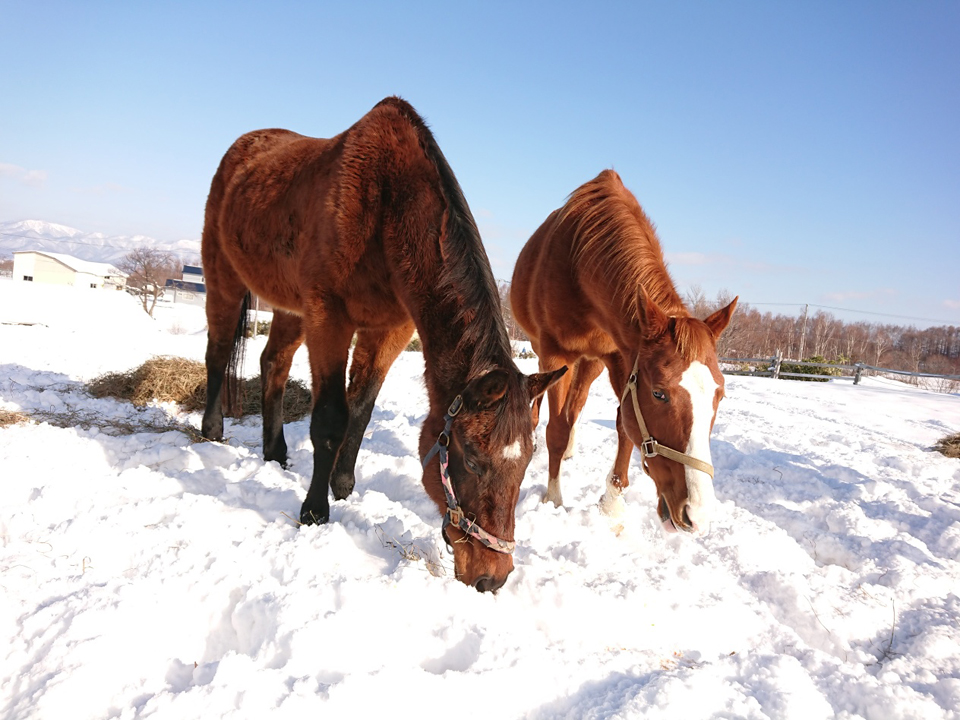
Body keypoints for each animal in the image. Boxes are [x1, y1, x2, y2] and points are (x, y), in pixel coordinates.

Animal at [202, 97, 564, 592]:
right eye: (472, 461)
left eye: (527, 463)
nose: (492, 577)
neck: (387, 206)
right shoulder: (328, 316)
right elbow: (331, 418)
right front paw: (314, 511)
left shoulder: (389, 329)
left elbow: (361, 408)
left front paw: (342, 486)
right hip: (223, 277)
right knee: (218, 352)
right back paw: (211, 429)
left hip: (289, 307)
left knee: (273, 362)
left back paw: (275, 453)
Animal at [512, 170, 740, 536]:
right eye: (659, 394)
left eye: (719, 395)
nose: (698, 515)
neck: (580, 263)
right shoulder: (556, 353)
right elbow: (555, 430)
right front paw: (553, 499)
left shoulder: (621, 358)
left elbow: (623, 426)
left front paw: (612, 505)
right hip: (543, 350)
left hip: (591, 363)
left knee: (576, 405)